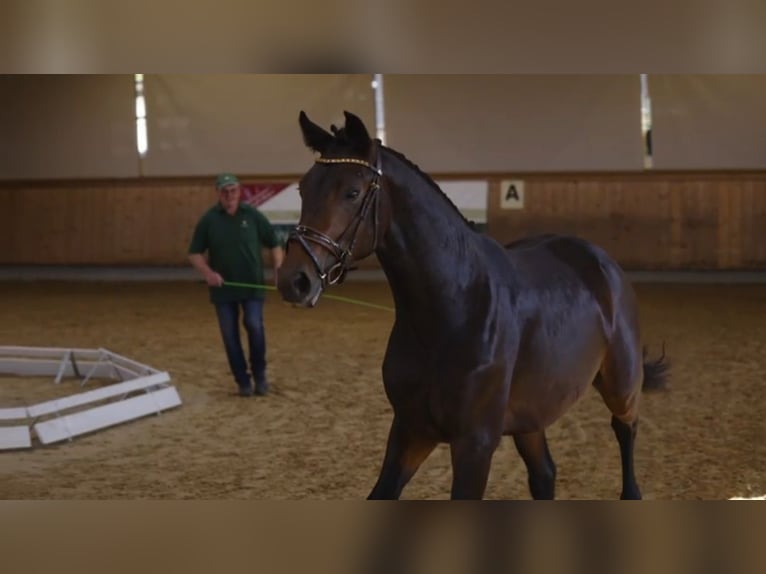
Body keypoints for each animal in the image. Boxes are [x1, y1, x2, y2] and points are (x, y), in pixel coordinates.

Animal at [280, 111, 668, 500]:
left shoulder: (475, 444)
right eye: (303, 189)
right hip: (531, 415)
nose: (294, 280)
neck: (453, 310)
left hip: (621, 384)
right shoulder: (411, 430)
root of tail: (600, 261)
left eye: (352, 192)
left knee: (626, 429)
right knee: (544, 474)